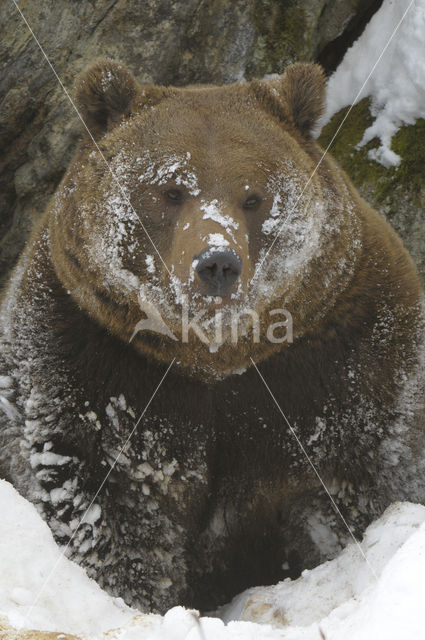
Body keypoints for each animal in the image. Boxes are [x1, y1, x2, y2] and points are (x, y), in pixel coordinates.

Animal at [0, 61, 424, 616]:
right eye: (170, 190)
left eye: (253, 196)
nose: (216, 262)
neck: (214, 356)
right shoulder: (93, 355)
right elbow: (106, 499)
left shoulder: (343, 354)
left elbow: (361, 471)